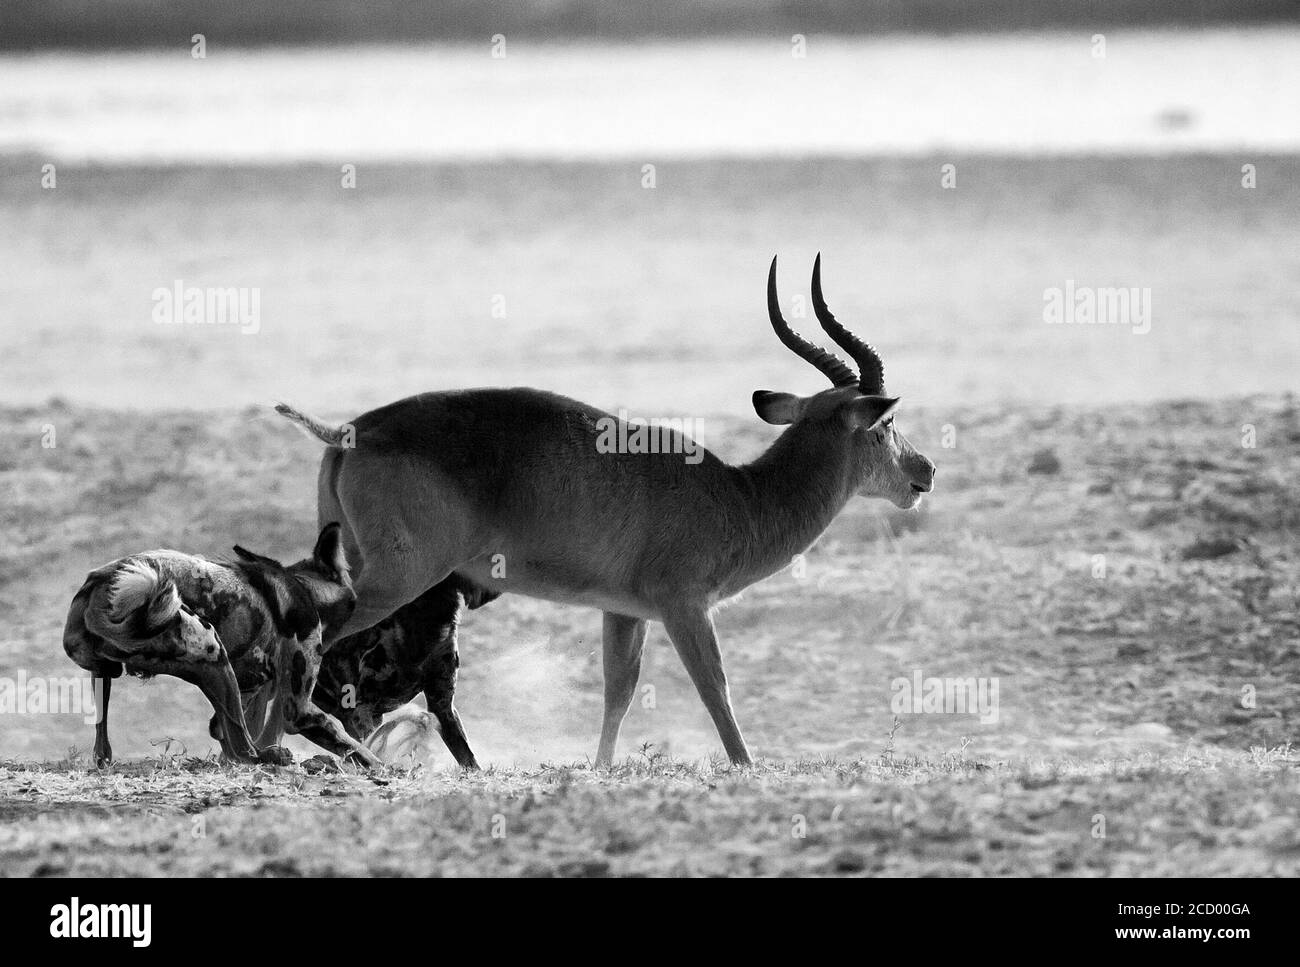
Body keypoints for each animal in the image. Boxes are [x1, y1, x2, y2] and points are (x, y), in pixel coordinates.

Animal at [64, 525, 379, 764]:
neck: (303, 588)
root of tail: (102, 587)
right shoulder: (298, 710)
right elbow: (360, 751)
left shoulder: (249, 690)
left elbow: (222, 734)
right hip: (214, 656)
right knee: (247, 752)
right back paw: (270, 756)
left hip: (106, 675)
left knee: (101, 746)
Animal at [279, 253, 935, 764]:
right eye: (887, 423)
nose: (924, 472)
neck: (740, 498)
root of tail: (349, 432)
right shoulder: (684, 605)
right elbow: (715, 685)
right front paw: (748, 764)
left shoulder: (624, 611)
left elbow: (617, 690)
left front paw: (600, 766)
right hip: (399, 578)